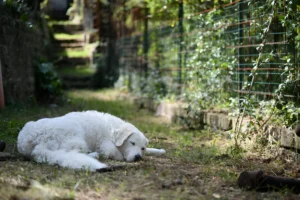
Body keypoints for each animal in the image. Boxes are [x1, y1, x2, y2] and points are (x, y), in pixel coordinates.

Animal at [17, 110, 165, 171]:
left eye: (142, 148)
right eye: (132, 143)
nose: (138, 157)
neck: (113, 129)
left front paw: (159, 151)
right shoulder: (107, 146)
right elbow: (117, 153)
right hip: (76, 134)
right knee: (73, 152)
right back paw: (93, 155)